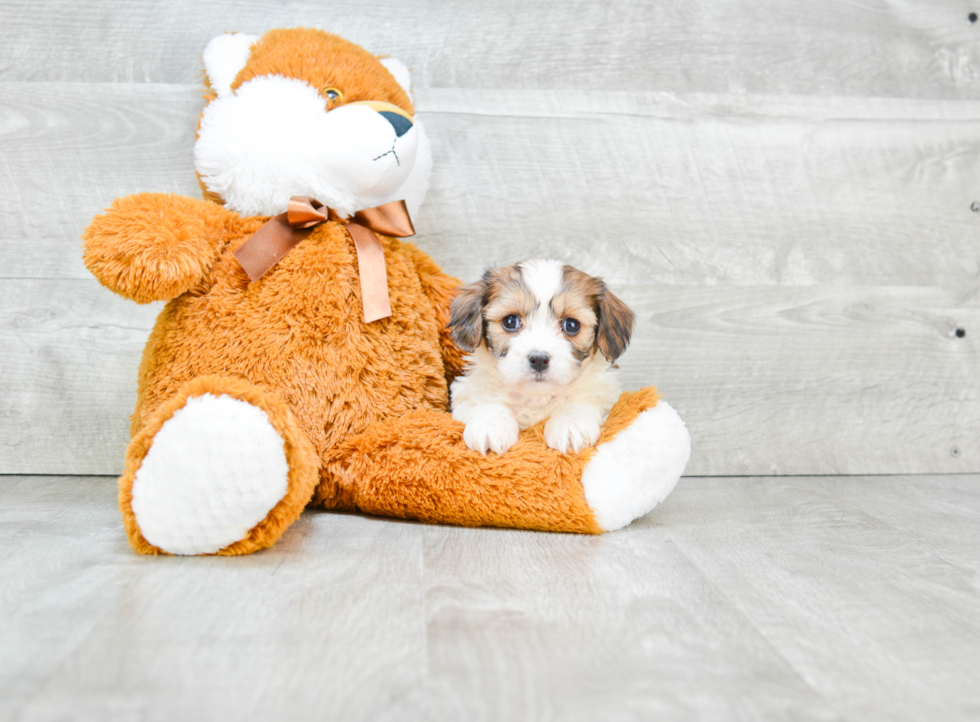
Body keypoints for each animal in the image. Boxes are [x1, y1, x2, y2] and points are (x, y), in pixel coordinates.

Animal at [446, 256, 632, 452]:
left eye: (571, 325)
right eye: (510, 321)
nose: (539, 360)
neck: (536, 398)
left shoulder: (604, 394)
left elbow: (583, 399)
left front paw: (570, 424)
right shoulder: (467, 392)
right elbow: (485, 398)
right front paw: (490, 424)